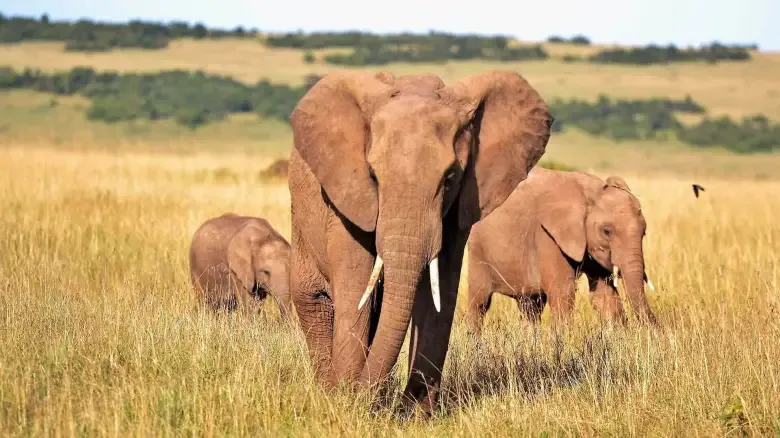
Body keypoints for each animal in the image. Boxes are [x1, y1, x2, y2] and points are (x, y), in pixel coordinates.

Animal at [287, 69, 553, 413]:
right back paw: (328, 392)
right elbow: (355, 284)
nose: (362, 397)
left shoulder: (460, 205)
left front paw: (414, 413)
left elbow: (441, 291)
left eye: (450, 177)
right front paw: (347, 402)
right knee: (314, 301)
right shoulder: (346, 197)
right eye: (373, 176)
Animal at [465, 167, 657, 334]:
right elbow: (563, 292)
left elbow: (604, 296)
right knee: (479, 303)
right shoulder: (547, 235)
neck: (591, 192)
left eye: (644, 232)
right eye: (607, 231)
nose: (655, 328)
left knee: (531, 306)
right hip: (477, 249)